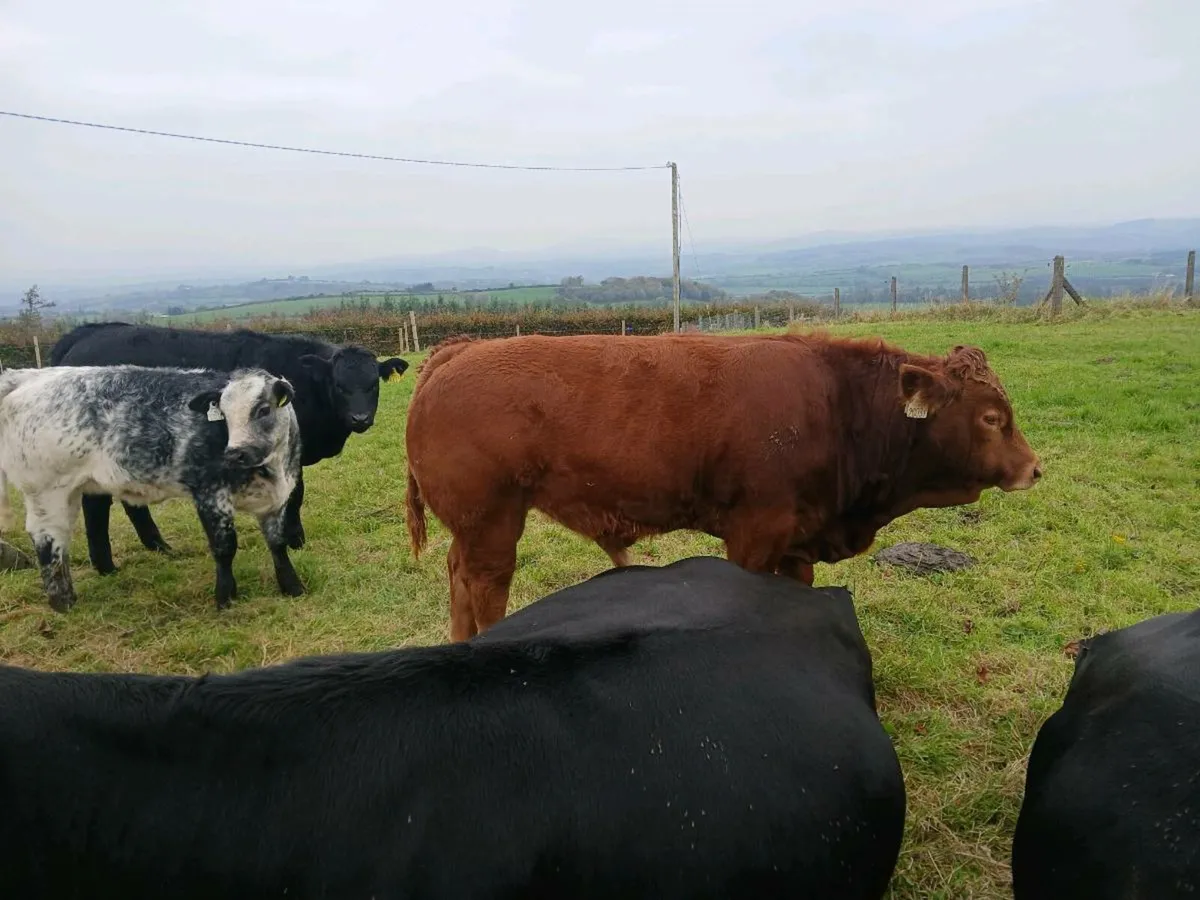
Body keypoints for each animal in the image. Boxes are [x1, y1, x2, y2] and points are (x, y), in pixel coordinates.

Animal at [0, 363, 304, 612]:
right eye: (225, 416)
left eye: (263, 410)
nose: (234, 453)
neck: (272, 469)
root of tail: (29, 376)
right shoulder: (210, 494)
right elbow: (224, 547)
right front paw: (225, 597)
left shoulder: (277, 498)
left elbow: (278, 543)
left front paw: (292, 586)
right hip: (46, 489)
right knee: (47, 538)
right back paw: (62, 602)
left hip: (69, 490)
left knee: (63, 535)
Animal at [49, 321, 408, 573]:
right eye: (339, 385)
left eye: (372, 384)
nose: (360, 418)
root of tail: (87, 333)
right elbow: (294, 496)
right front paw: (295, 539)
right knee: (96, 505)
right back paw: (106, 566)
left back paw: (158, 546)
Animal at [405, 331, 1043, 640]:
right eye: (992, 417)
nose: (1034, 468)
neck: (836, 402)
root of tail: (459, 351)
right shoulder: (755, 534)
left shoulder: (797, 542)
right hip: (493, 524)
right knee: (486, 589)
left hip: (474, 530)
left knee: (458, 579)